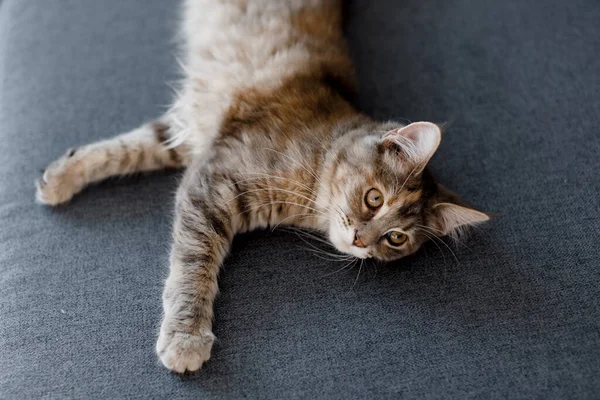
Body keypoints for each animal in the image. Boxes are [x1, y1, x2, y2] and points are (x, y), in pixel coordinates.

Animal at [35, 0, 490, 376]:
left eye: (396, 239)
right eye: (374, 198)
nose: (362, 240)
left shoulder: (192, 138)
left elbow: (125, 150)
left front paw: (58, 176)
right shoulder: (212, 181)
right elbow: (193, 266)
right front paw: (186, 339)